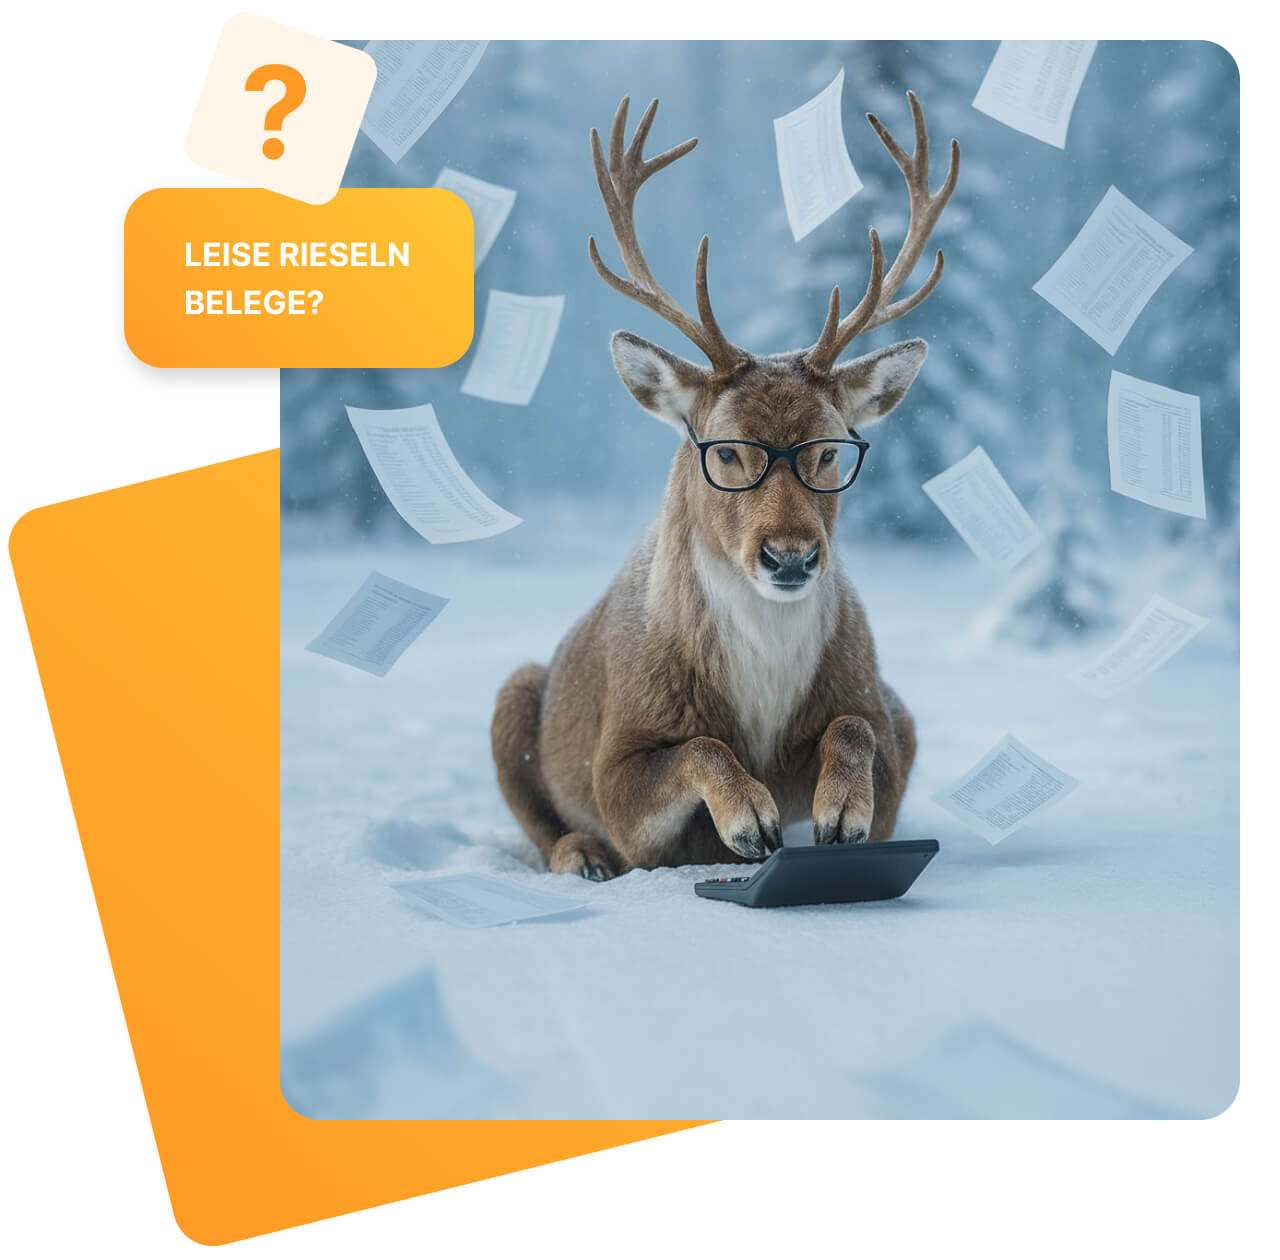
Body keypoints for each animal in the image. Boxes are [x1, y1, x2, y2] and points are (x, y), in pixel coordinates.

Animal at [491, 90, 958, 880]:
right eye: (729, 450)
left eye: (829, 450)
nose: (790, 556)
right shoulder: (617, 760)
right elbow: (699, 748)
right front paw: (750, 818)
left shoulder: (888, 710)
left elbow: (857, 730)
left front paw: (841, 812)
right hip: (513, 691)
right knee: (540, 820)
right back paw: (582, 855)